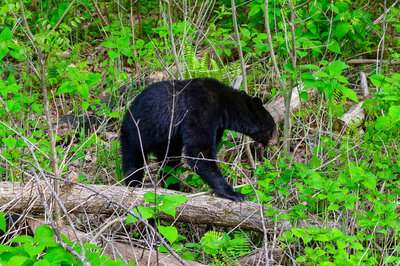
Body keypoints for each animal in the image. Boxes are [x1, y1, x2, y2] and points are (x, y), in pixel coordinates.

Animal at [120, 78, 278, 201]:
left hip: (167, 144)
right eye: (273, 127)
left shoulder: (217, 125)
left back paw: (173, 188)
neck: (223, 104)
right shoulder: (201, 109)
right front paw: (232, 193)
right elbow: (199, 151)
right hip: (134, 133)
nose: (276, 141)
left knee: (170, 164)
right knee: (133, 162)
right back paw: (133, 184)